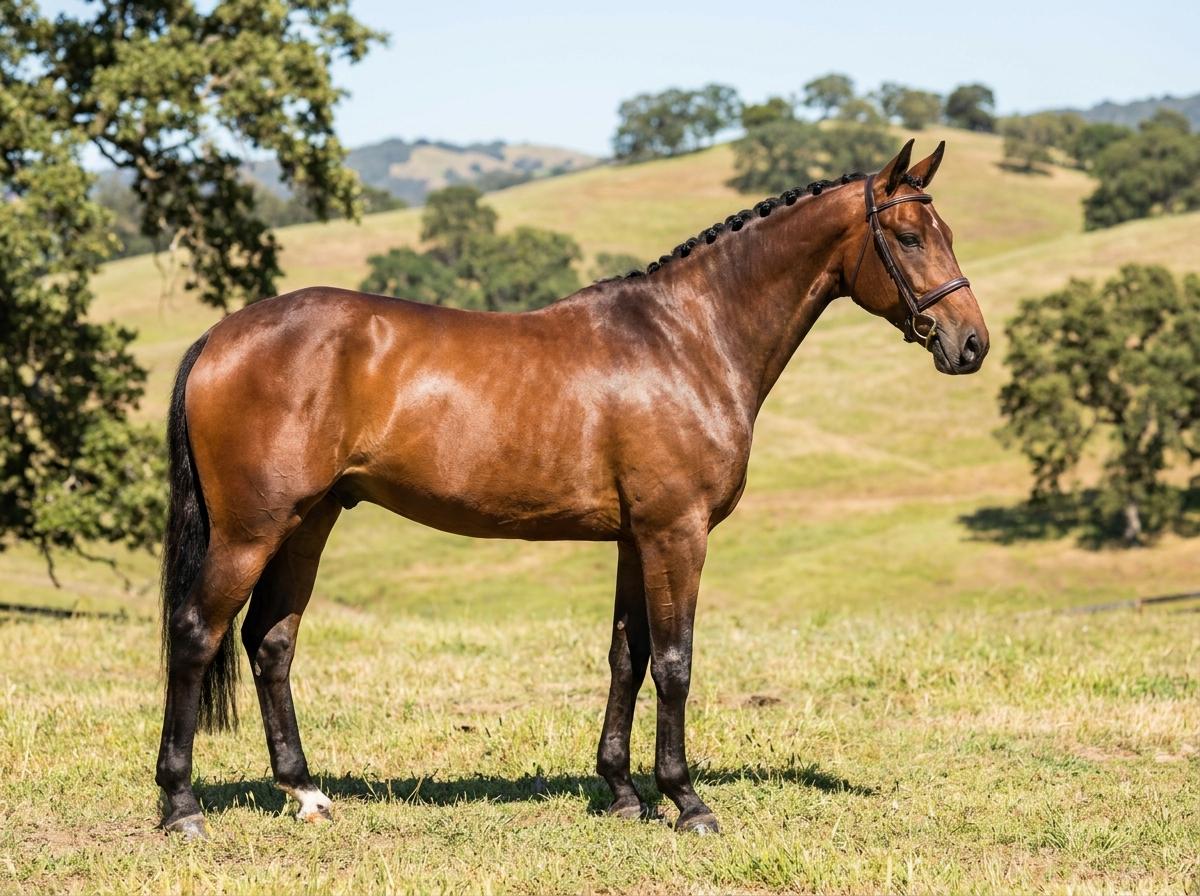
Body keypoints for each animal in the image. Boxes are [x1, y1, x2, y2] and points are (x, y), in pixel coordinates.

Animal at [156, 139, 988, 839]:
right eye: (908, 237)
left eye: (945, 230)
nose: (971, 342)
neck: (686, 339)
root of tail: (220, 336)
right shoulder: (676, 532)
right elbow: (676, 662)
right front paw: (687, 803)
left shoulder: (635, 538)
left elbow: (629, 655)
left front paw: (622, 793)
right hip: (252, 529)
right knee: (196, 634)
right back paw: (181, 806)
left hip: (309, 521)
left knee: (270, 640)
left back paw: (306, 792)